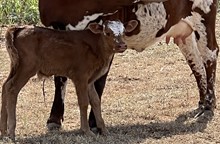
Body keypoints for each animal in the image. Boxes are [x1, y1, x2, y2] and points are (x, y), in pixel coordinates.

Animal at [0, 19, 138, 139]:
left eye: (124, 32)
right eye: (107, 33)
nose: (122, 45)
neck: (97, 47)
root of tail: (19, 28)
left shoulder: (90, 80)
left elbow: (96, 101)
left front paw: (104, 130)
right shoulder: (80, 77)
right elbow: (83, 102)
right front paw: (86, 131)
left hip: (15, 66)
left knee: (5, 86)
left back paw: (3, 131)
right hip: (27, 67)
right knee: (12, 88)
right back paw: (11, 132)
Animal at [37, 0, 218, 130]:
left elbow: (99, 81)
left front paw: (94, 122)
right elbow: (60, 77)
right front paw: (54, 119)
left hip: (203, 17)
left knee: (210, 56)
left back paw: (209, 105)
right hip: (184, 31)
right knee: (196, 63)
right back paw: (202, 102)